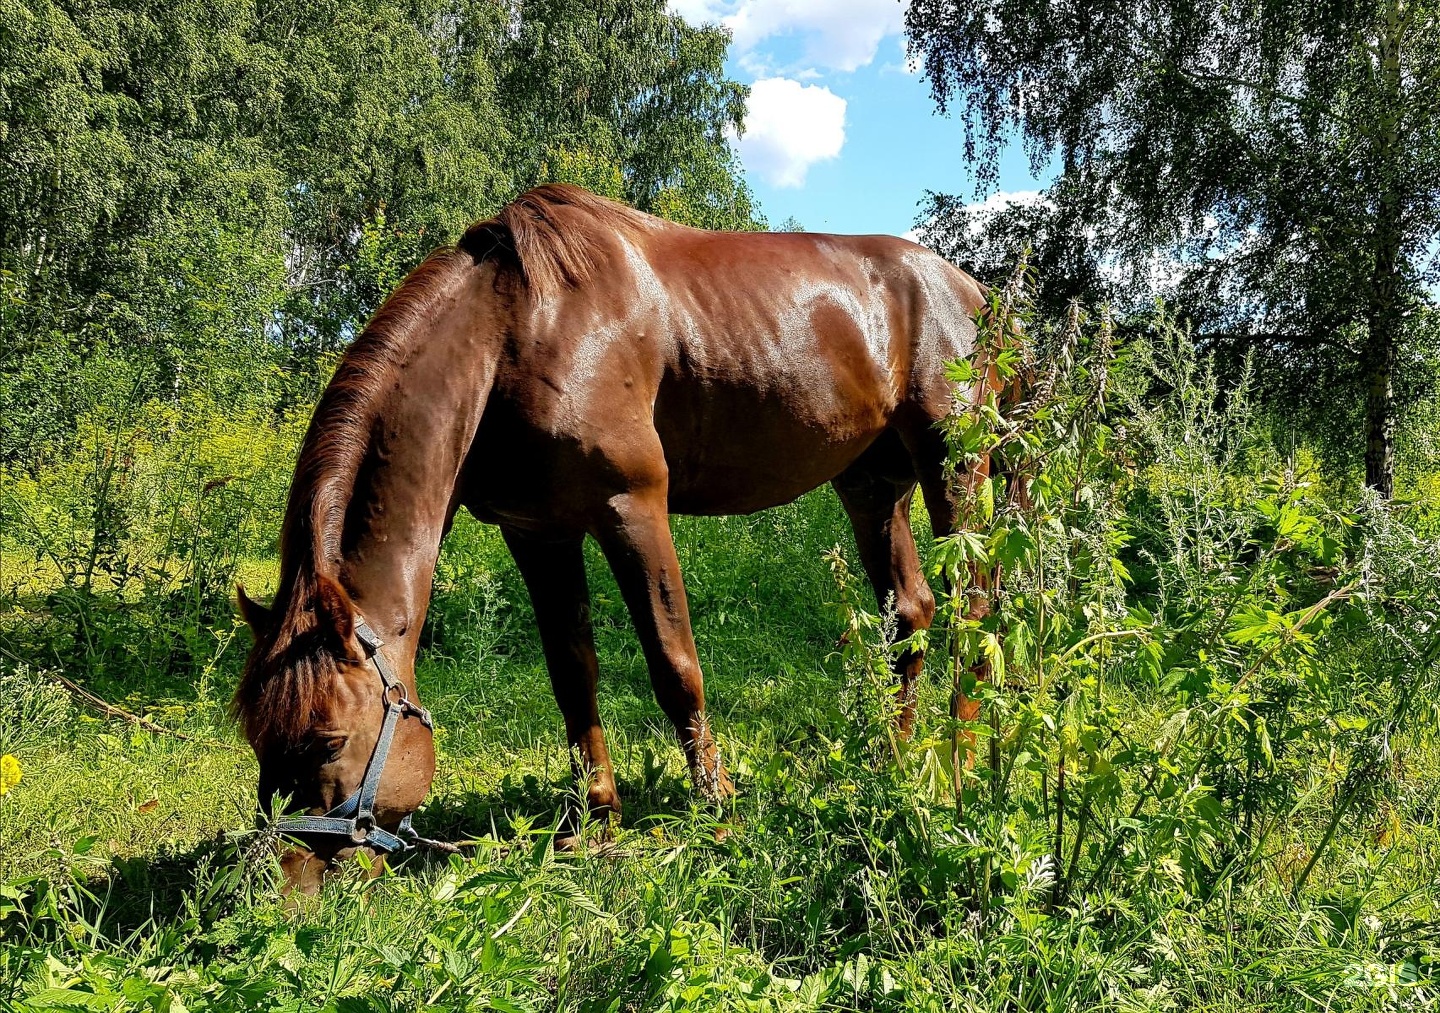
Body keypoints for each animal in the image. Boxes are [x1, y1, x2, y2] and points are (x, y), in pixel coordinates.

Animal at [239, 185, 990, 893]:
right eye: (254, 736)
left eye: (329, 739)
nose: (279, 881)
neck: (512, 334)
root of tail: (969, 291)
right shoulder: (538, 531)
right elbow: (573, 674)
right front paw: (595, 817)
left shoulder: (632, 506)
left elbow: (674, 663)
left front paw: (716, 807)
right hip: (873, 485)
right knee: (911, 613)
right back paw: (892, 758)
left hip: (952, 466)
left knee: (974, 610)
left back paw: (968, 756)